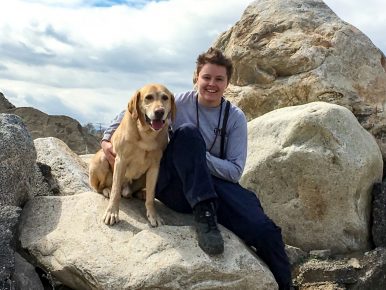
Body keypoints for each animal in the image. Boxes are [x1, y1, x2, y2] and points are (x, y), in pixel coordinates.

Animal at [89, 84, 175, 227]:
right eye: (148, 97)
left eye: (165, 98)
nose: (159, 112)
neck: (146, 134)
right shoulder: (120, 161)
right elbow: (115, 192)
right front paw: (112, 212)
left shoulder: (155, 167)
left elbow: (151, 196)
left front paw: (153, 215)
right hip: (101, 160)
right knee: (99, 188)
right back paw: (106, 190)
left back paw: (140, 194)